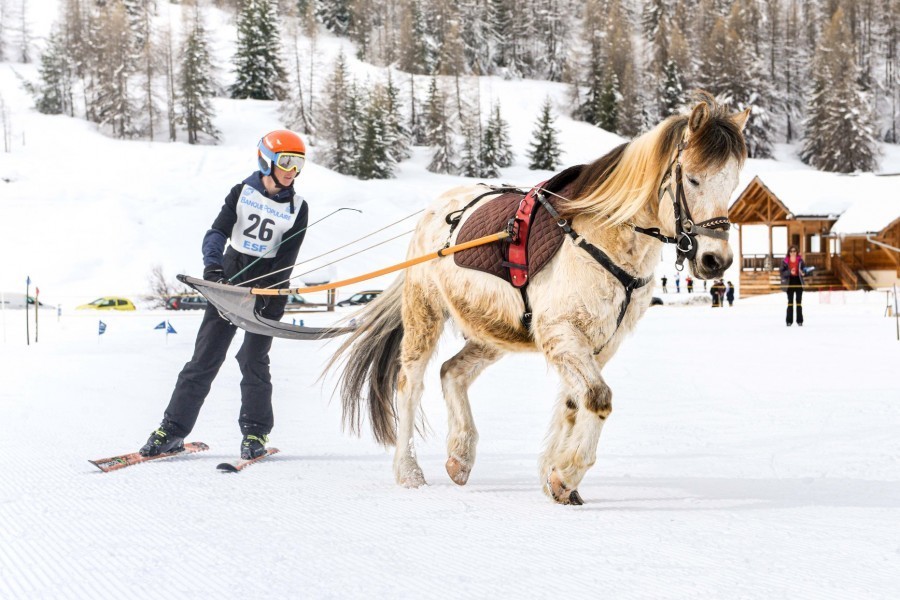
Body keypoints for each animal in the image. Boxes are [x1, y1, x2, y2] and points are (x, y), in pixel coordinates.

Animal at [326, 92, 748, 506]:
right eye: (692, 178)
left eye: (732, 183)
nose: (716, 260)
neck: (601, 237)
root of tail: (434, 212)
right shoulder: (562, 332)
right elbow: (597, 397)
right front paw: (567, 472)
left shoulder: (600, 342)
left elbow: (573, 403)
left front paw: (555, 474)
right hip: (425, 312)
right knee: (409, 384)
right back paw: (408, 470)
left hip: (493, 330)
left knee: (452, 372)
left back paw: (461, 455)